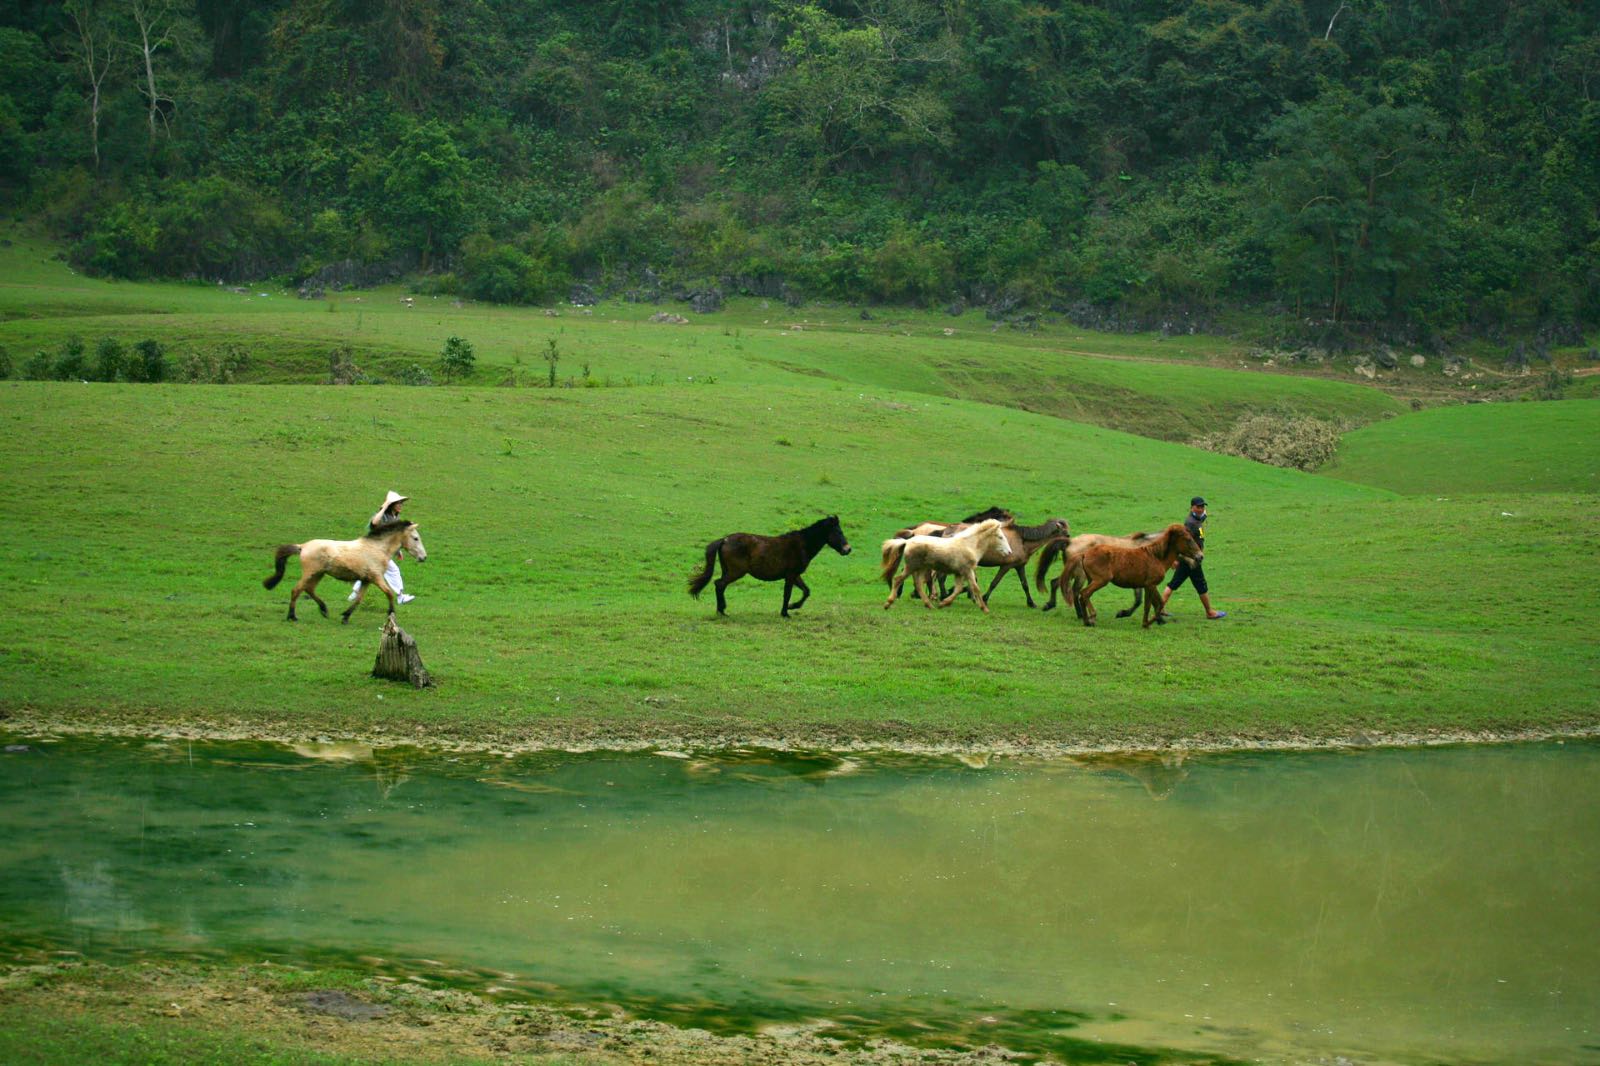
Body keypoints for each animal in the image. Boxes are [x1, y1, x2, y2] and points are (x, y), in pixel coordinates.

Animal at [262, 515, 425, 617]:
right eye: (416, 538)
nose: (423, 557)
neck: (377, 548)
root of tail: (302, 546)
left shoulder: (366, 580)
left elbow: (359, 599)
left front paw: (345, 616)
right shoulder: (377, 577)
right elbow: (389, 593)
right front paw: (391, 612)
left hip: (319, 573)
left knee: (309, 589)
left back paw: (324, 610)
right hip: (310, 572)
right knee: (296, 590)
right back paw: (292, 616)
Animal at [684, 512, 851, 614]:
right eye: (838, 532)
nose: (848, 549)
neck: (802, 544)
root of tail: (724, 540)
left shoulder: (795, 575)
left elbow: (806, 591)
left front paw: (792, 607)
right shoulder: (791, 575)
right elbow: (787, 594)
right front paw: (785, 612)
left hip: (728, 571)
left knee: (720, 585)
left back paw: (722, 609)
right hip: (736, 572)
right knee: (719, 584)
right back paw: (721, 611)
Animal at [1062, 518, 1203, 627]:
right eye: (1188, 539)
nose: (1200, 557)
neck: (1156, 556)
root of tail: (1084, 553)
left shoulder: (1147, 585)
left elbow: (1157, 603)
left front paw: (1157, 620)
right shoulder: (1149, 585)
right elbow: (1148, 604)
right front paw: (1147, 622)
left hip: (1092, 579)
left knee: (1081, 594)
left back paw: (1086, 620)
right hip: (1100, 580)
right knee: (1083, 594)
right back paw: (1090, 617)